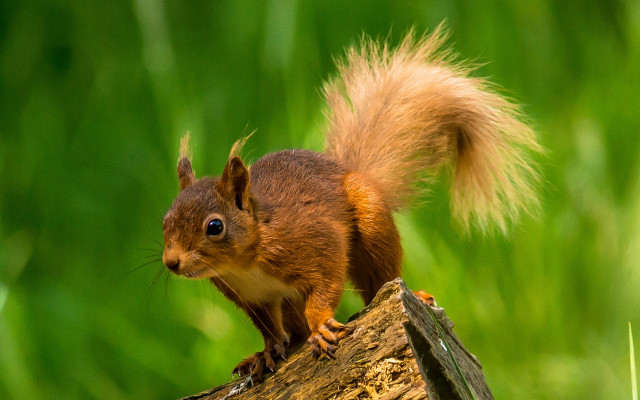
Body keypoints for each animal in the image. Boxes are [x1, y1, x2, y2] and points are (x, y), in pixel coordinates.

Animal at [161, 27, 541, 382]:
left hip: (371, 223)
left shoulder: (314, 242)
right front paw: (266, 352)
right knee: (293, 330)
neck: (246, 263)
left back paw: (413, 292)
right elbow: (268, 329)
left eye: (215, 226)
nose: (171, 262)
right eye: (164, 221)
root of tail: (349, 170)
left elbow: (326, 283)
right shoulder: (251, 298)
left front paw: (321, 327)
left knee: (380, 281)